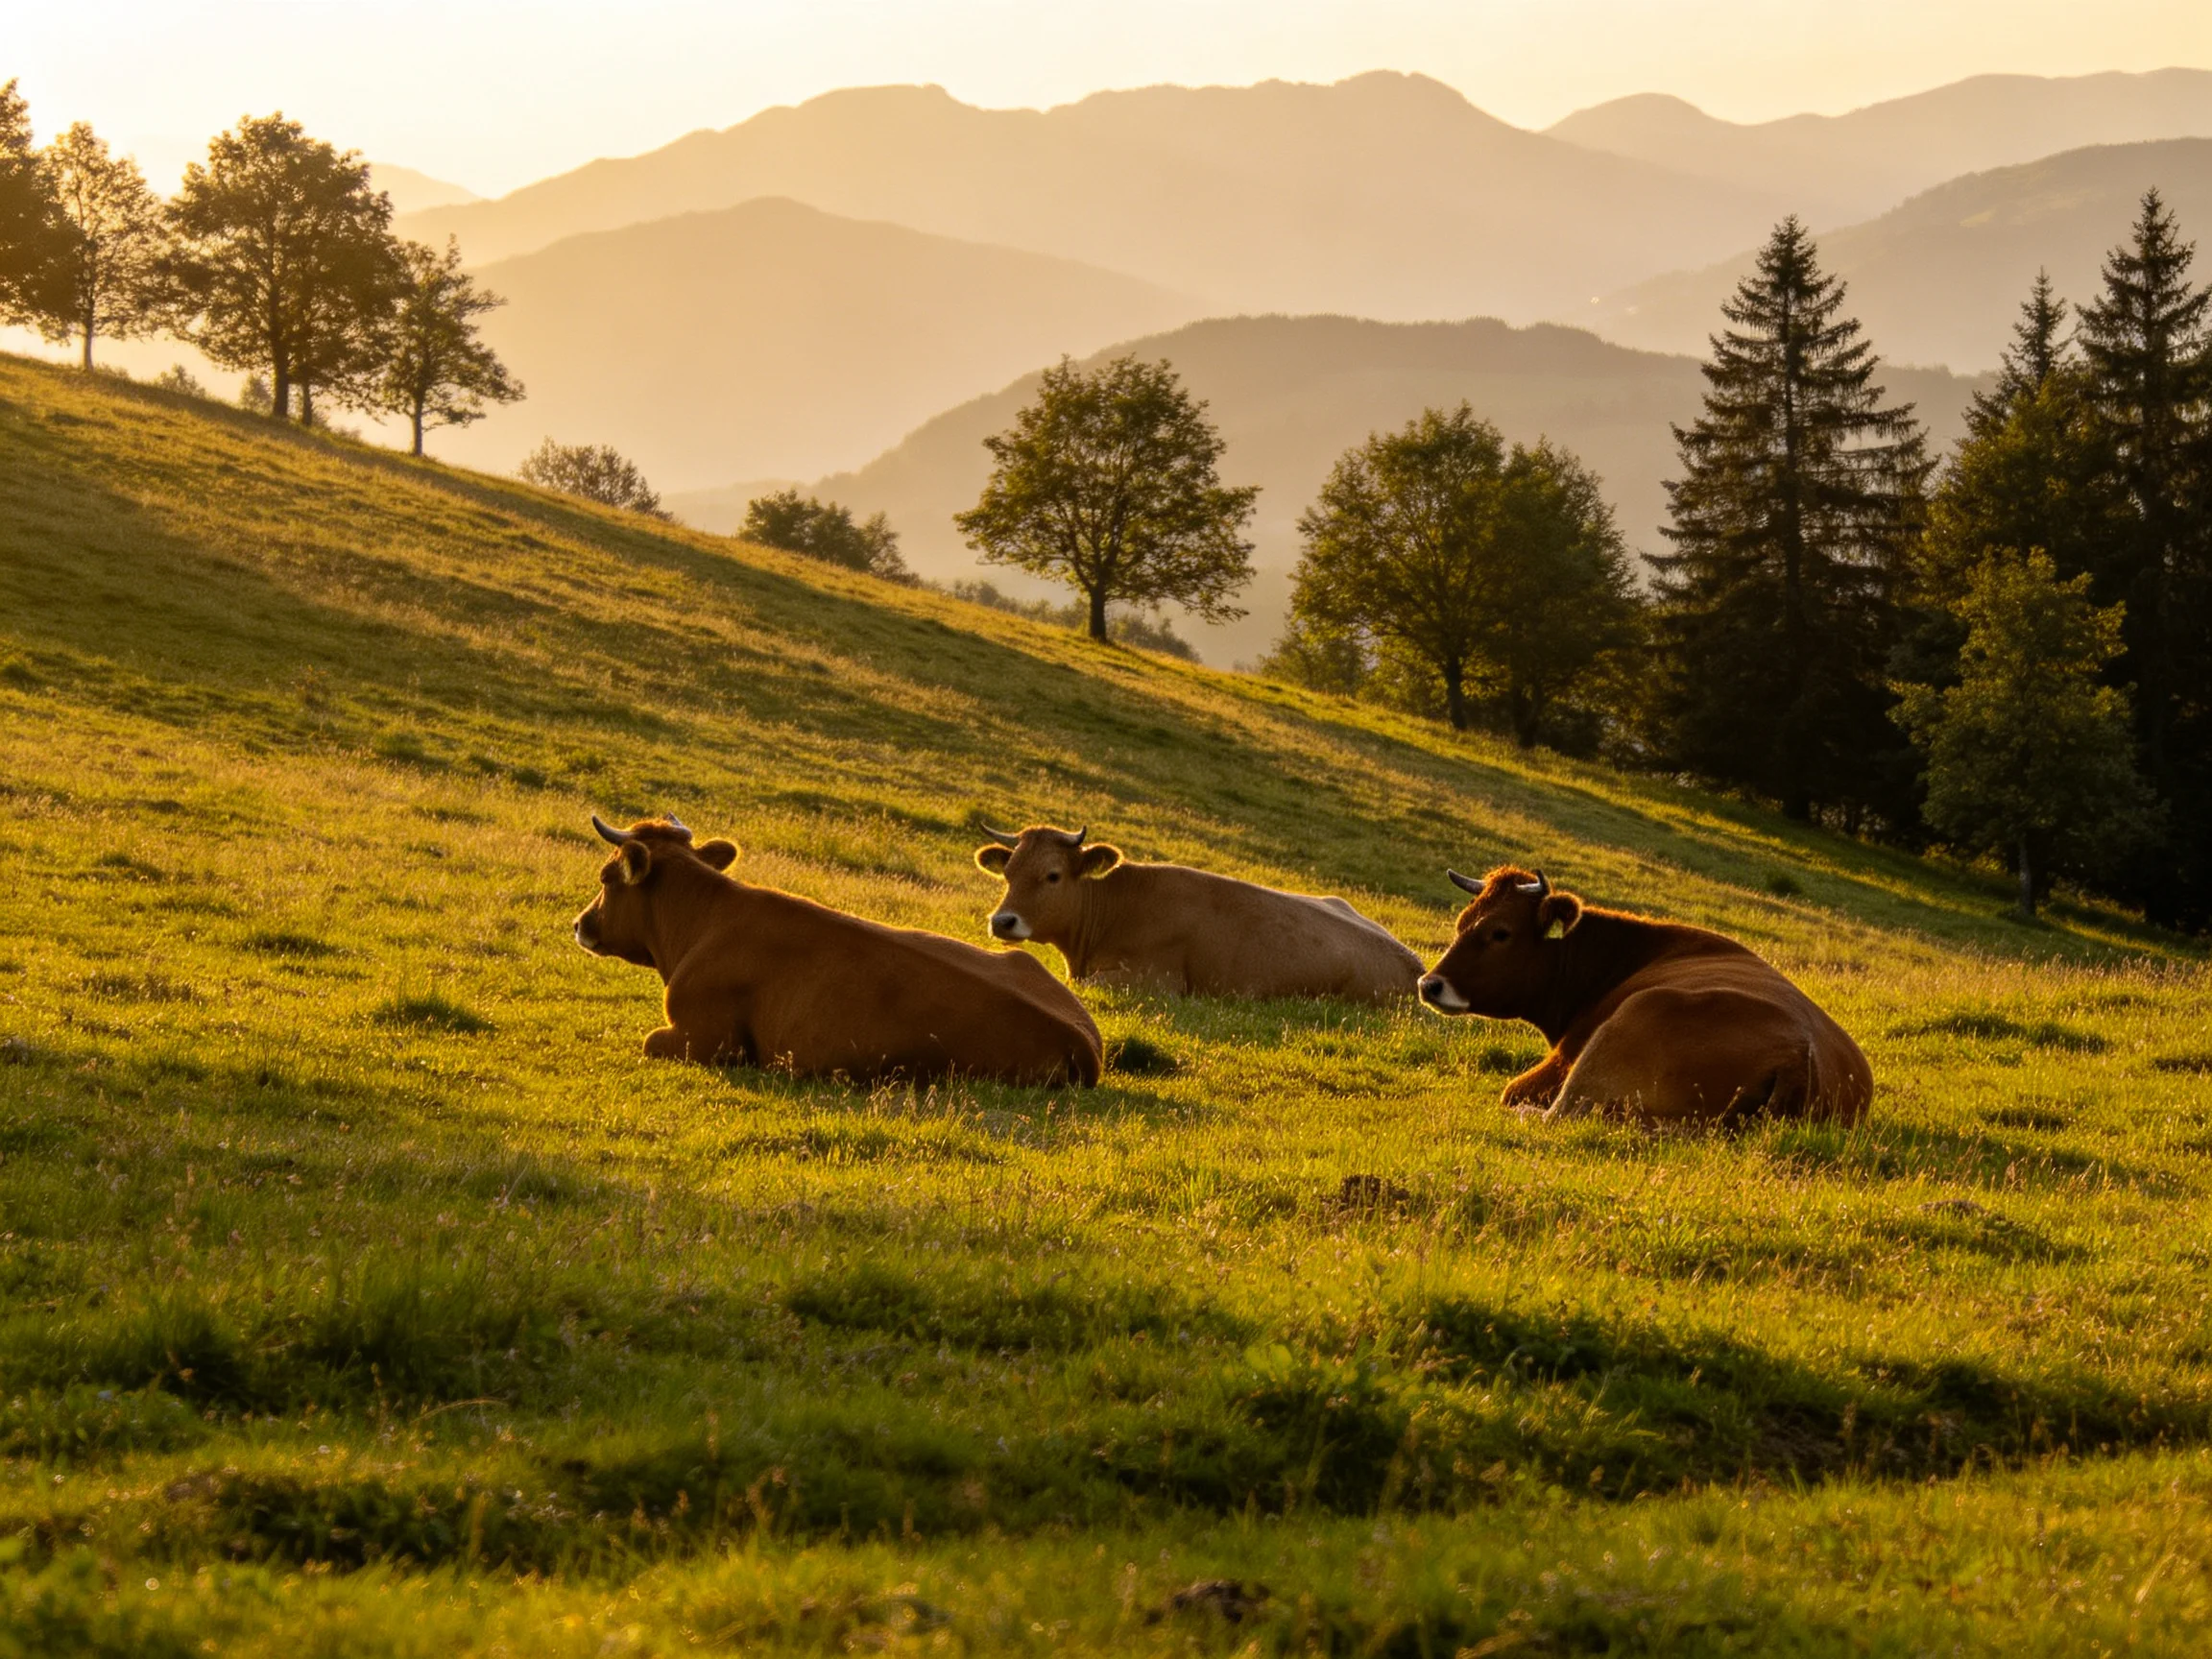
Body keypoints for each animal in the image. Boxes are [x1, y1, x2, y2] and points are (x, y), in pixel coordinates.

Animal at [1416, 865, 1872, 1127]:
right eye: (1462, 922)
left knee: (1562, 1114)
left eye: (1500, 933)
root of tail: (1799, 1056)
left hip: (1626, 1025)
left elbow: (1512, 1089)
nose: (1429, 984)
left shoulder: (1564, 1060)